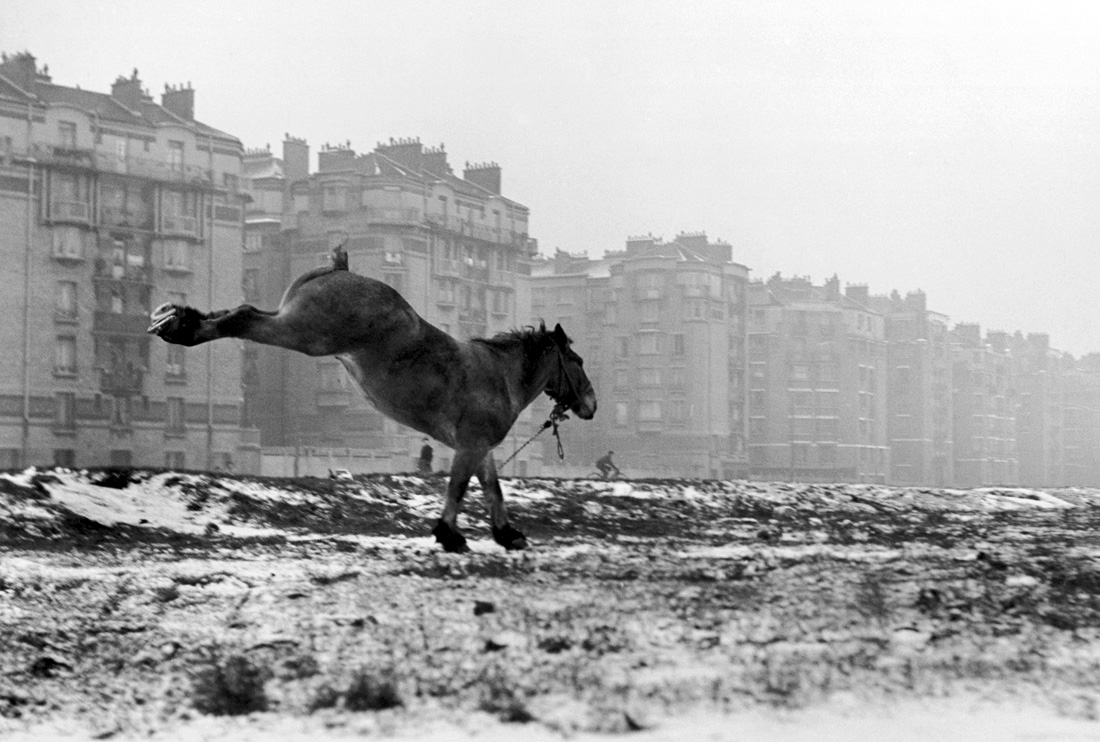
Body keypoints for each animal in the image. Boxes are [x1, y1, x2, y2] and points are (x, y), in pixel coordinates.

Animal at [149, 244, 598, 551]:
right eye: (576, 360)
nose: (592, 404)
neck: (498, 374)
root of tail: (338, 271)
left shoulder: (478, 446)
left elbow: (491, 487)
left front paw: (506, 533)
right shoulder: (470, 445)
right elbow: (459, 487)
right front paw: (449, 535)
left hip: (291, 323)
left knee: (236, 313)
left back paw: (178, 320)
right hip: (302, 334)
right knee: (242, 317)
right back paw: (180, 329)